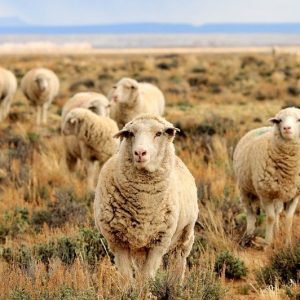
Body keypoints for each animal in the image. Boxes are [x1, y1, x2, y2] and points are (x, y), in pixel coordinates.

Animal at [94, 113, 199, 284]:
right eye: (131, 133)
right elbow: (126, 277)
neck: (143, 205)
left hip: (185, 235)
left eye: (159, 133)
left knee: (178, 261)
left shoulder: (159, 243)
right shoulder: (118, 242)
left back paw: (175, 285)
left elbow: (146, 278)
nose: (140, 153)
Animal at [233, 108, 300, 246]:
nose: (286, 128)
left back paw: (276, 231)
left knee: (277, 211)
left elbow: (289, 218)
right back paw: (248, 235)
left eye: (299, 119)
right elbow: (270, 217)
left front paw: (288, 243)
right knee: (250, 213)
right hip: (245, 189)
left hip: (276, 193)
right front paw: (268, 243)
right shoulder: (265, 194)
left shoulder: (295, 194)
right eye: (279, 120)